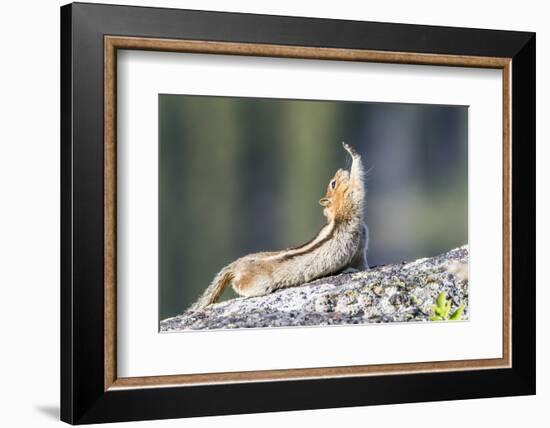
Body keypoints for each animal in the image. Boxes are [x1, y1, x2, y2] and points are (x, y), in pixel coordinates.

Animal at [191, 142, 370, 310]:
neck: (336, 212)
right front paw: (352, 152)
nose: (340, 170)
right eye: (333, 183)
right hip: (257, 283)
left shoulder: (359, 249)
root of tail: (235, 265)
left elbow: (361, 262)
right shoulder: (351, 201)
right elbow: (358, 184)